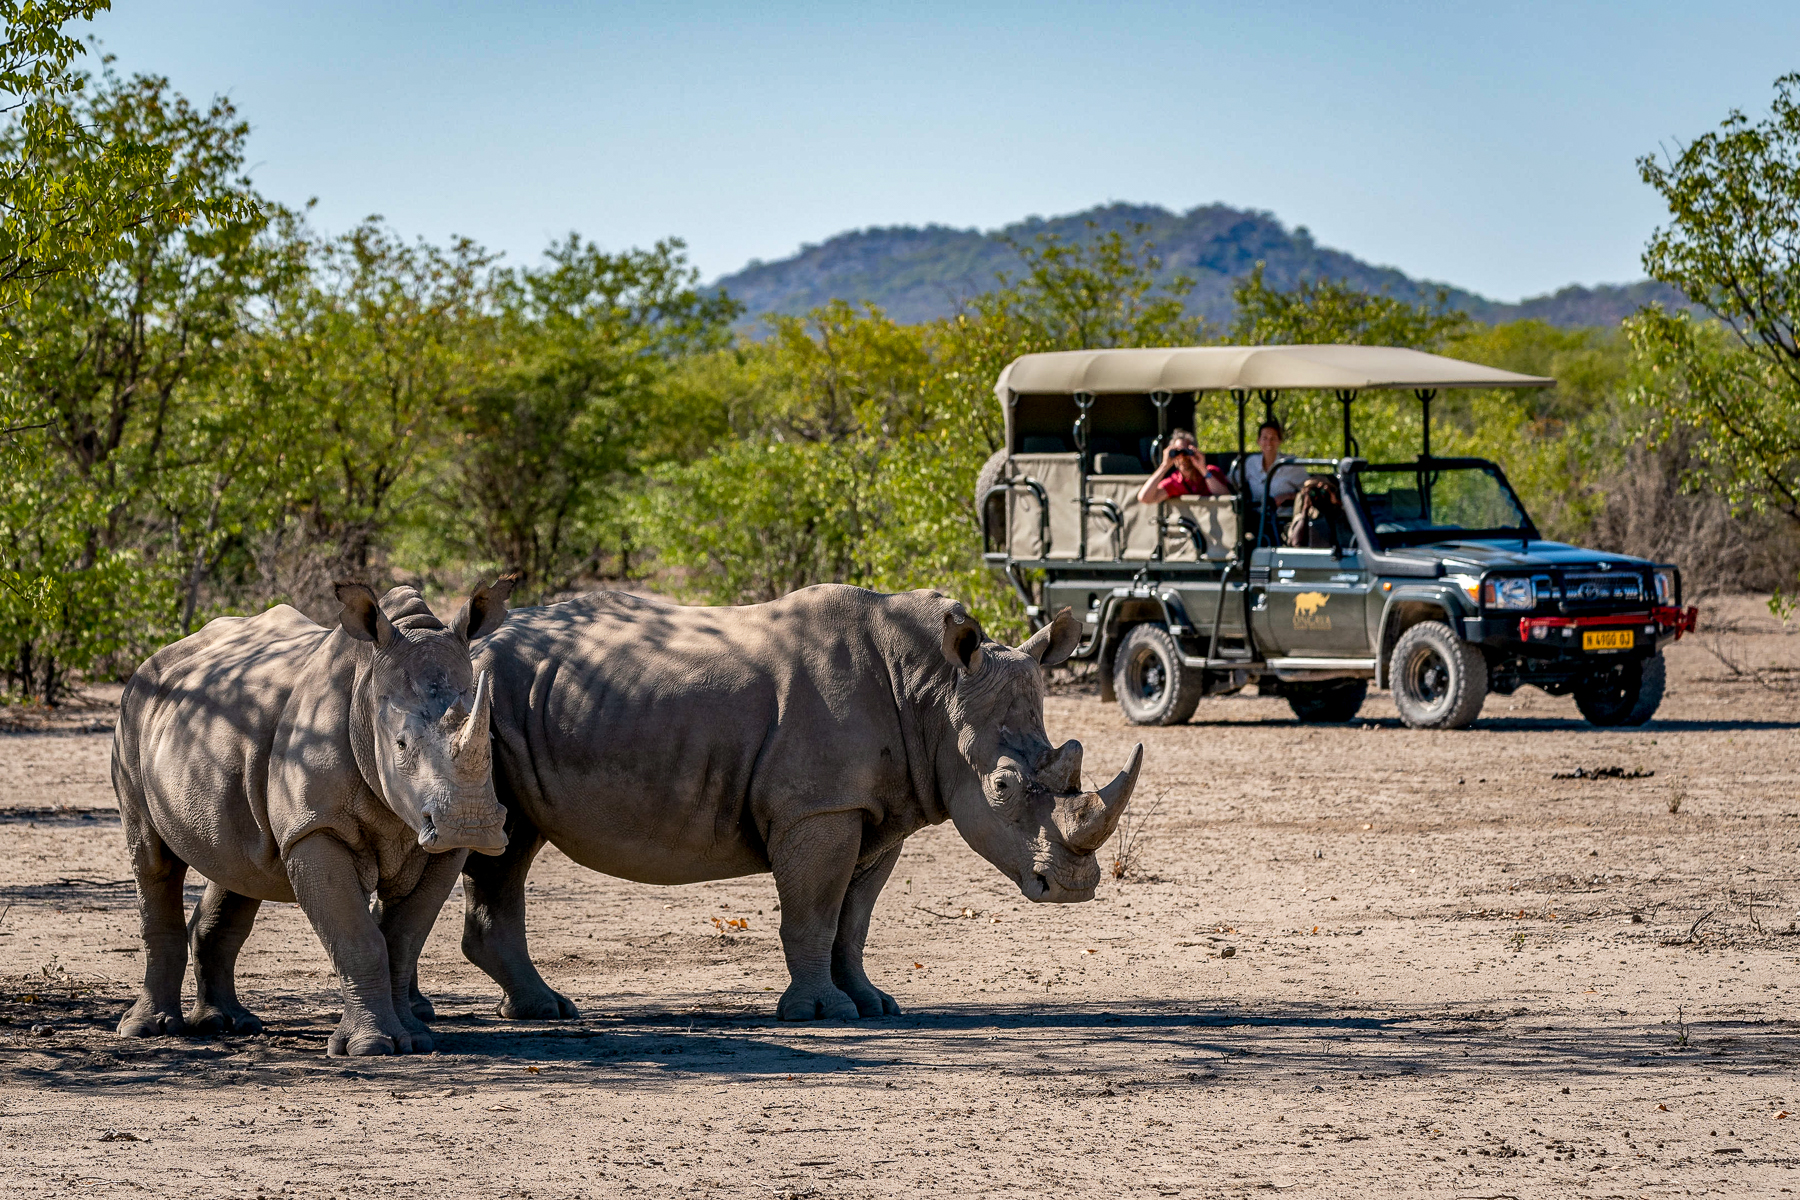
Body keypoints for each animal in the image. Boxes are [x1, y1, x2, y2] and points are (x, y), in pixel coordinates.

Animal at [111, 579, 515, 1055]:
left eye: (491, 739)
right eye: (399, 744)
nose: (469, 824)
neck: (366, 691)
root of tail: (158, 657)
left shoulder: (442, 847)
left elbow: (403, 940)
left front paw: (415, 1039)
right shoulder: (314, 828)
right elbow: (359, 937)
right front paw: (372, 1047)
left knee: (238, 864)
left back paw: (227, 1023)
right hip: (132, 714)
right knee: (153, 860)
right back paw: (147, 1029)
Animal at [457, 584, 1141, 1022]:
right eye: (1001, 787)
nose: (1074, 886)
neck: (933, 692)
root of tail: (467, 642)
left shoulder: (875, 811)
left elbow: (853, 920)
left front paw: (873, 1005)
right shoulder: (819, 808)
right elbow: (815, 910)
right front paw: (820, 1013)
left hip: (514, 708)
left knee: (510, 847)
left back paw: (537, 1010)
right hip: (478, 706)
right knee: (497, 846)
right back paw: (541, 1011)